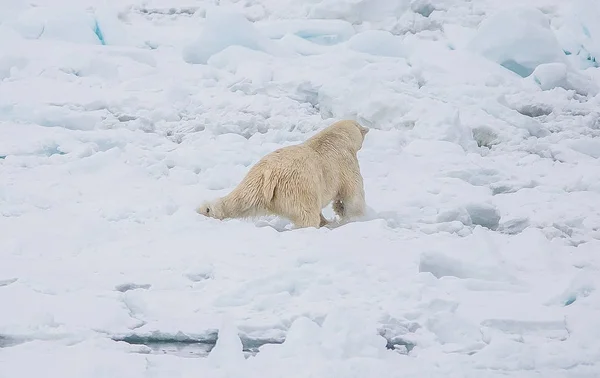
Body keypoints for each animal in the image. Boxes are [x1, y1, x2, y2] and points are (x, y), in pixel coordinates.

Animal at [197, 119, 368, 229]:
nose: (366, 129)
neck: (337, 138)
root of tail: (270, 174)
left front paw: (338, 210)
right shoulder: (345, 164)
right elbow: (354, 194)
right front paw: (355, 217)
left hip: (254, 182)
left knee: (239, 201)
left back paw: (206, 210)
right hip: (297, 189)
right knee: (306, 216)